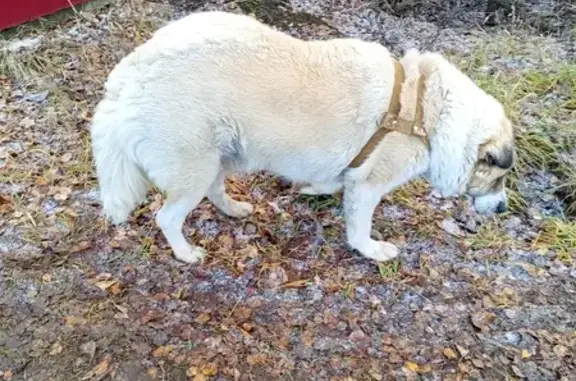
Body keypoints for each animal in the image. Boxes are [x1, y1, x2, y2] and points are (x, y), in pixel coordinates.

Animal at [92, 11, 516, 262]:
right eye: (499, 177)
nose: (502, 209)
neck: (425, 109)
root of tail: (129, 74)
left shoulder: (352, 171)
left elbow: (332, 182)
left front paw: (315, 190)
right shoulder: (369, 186)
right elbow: (359, 228)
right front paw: (371, 250)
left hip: (219, 155)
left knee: (214, 190)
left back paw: (233, 210)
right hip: (193, 167)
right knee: (167, 217)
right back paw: (185, 253)